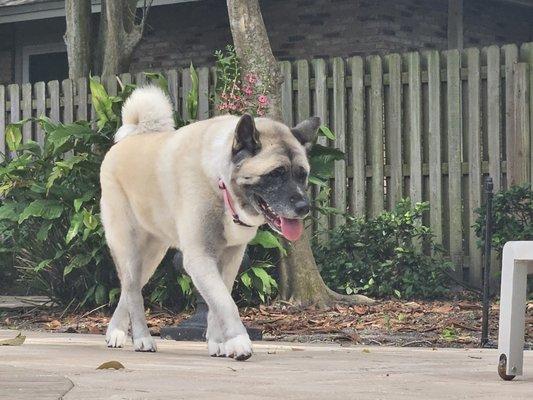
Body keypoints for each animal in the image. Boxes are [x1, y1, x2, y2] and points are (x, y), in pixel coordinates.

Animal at [100, 86, 318, 360]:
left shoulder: (230, 258)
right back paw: (141, 338)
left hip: (152, 255)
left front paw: (218, 343)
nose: (303, 208)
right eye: (276, 173)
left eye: (302, 175)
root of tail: (128, 141)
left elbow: (217, 301)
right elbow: (225, 302)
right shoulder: (199, 257)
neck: (219, 180)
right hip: (128, 248)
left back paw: (116, 332)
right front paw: (239, 342)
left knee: (130, 290)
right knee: (132, 291)